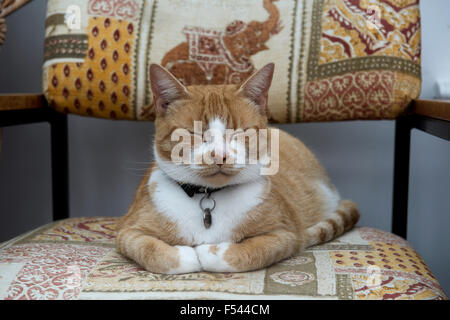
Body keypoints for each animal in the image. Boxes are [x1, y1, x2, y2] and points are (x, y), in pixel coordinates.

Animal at [116, 63, 358, 276]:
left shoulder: (285, 235)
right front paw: (186, 255)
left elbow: (244, 253)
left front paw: (207, 251)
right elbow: (154, 252)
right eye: (194, 133)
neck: (208, 196)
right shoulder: (128, 232)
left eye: (240, 132)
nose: (219, 155)